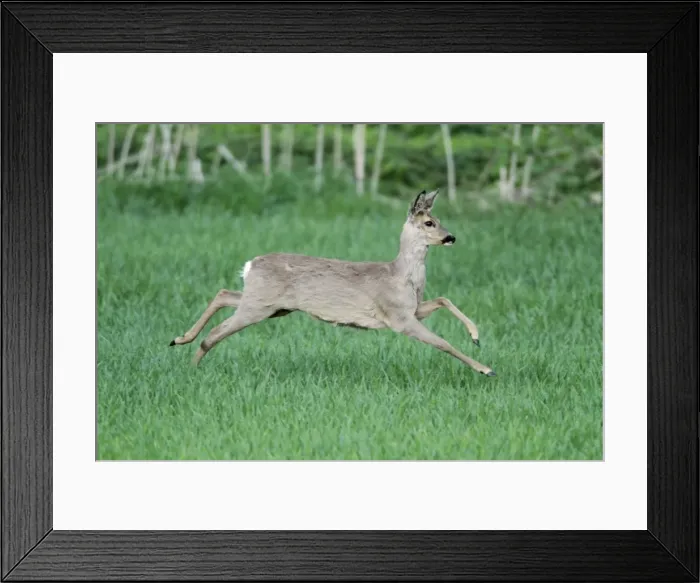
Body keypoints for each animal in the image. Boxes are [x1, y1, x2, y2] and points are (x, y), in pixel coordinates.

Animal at [170, 189, 496, 376]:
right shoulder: (399, 318)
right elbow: (443, 343)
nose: (450, 237)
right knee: (217, 331)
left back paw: (180, 341)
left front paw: (476, 335)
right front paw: (486, 369)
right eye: (429, 222)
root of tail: (251, 264)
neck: (401, 275)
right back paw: (190, 366)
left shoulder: (412, 310)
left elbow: (443, 299)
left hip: (271, 305)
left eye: (439, 220)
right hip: (260, 305)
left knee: (224, 293)